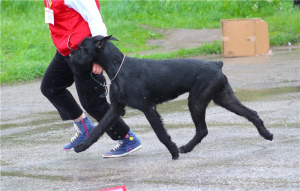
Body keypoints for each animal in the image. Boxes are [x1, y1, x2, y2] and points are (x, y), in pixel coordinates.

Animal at [71, 35, 274, 159]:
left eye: (82, 47)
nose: (71, 53)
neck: (117, 68)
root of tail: (217, 64)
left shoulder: (148, 109)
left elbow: (160, 133)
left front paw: (173, 150)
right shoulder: (115, 109)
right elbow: (99, 129)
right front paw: (82, 146)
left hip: (196, 101)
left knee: (202, 129)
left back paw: (185, 148)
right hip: (223, 98)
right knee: (251, 113)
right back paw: (266, 134)